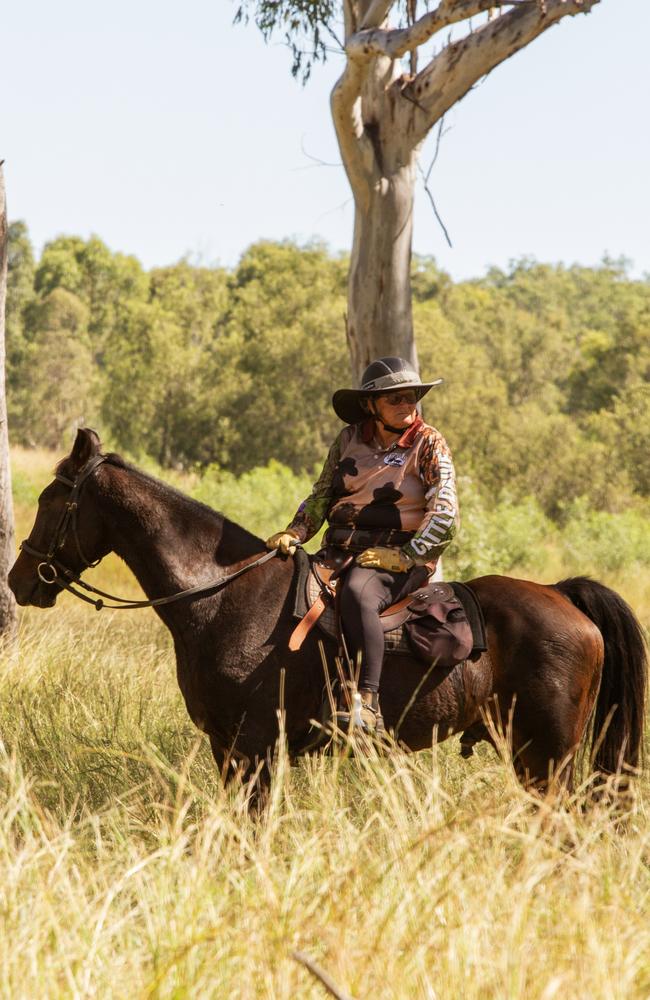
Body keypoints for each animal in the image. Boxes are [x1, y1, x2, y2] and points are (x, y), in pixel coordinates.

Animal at [7, 430, 644, 796]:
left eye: (51, 499)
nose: (19, 581)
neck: (220, 599)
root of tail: (564, 595)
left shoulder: (255, 747)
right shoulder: (227, 747)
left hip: (546, 758)